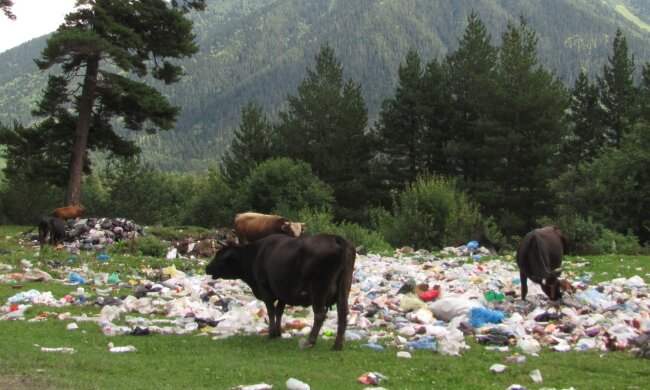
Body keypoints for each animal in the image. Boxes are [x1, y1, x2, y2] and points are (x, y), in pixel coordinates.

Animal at [205, 232, 354, 350]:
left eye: (219, 256)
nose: (207, 268)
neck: (255, 255)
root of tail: (335, 238)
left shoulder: (264, 287)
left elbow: (271, 311)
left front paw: (271, 334)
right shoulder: (283, 291)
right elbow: (279, 311)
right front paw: (278, 333)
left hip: (318, 288)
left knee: (320, 314)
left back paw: (310, 342)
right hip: (344, 288)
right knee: (343, 313)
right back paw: (337, 345)